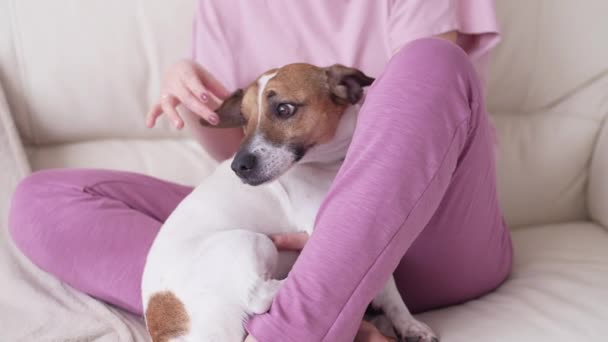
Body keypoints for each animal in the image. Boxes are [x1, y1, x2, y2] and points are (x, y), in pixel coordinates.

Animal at [142, 62, 436, 340]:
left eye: (284, 109)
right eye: (244, 119)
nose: (238, 166)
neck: (329, 166)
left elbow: (390, 291)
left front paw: (409, 325)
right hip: (252, 241)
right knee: (259, 297)